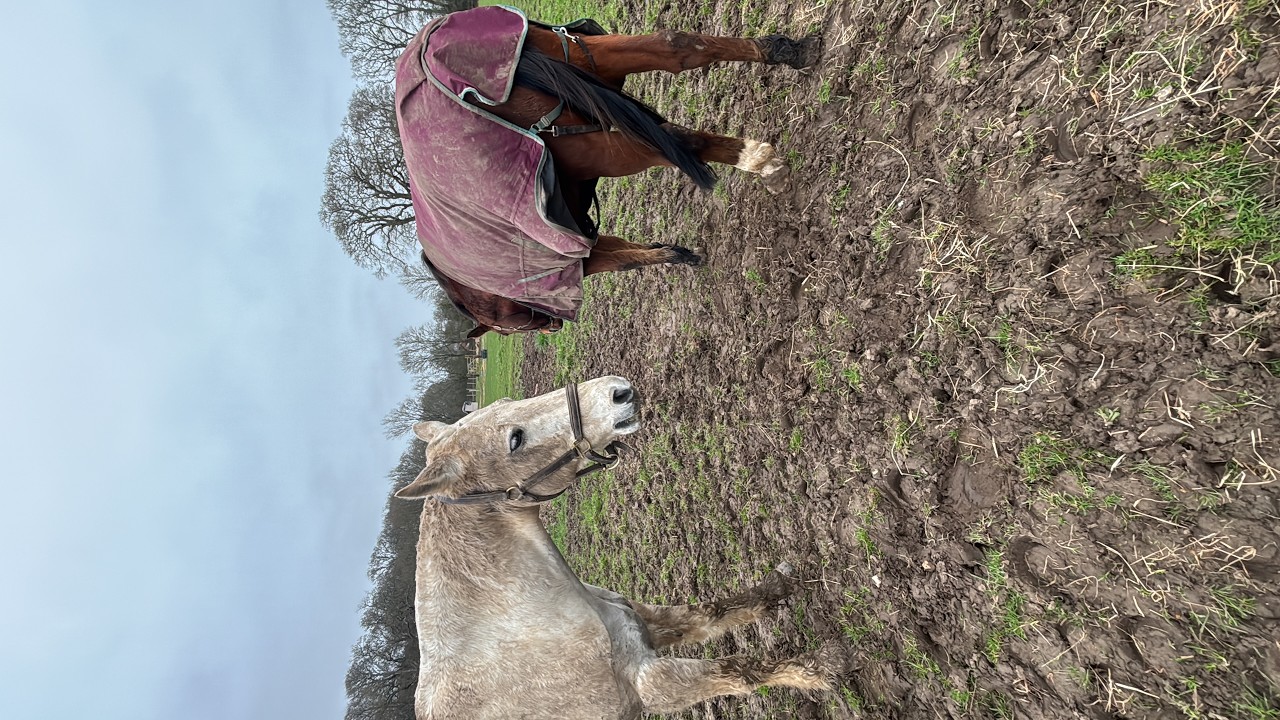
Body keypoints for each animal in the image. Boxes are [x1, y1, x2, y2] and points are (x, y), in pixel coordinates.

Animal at [395, 376, 842, 719]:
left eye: (505, 404)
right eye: (515, 440)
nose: (619, 391)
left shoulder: (643, 623)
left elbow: (710, 613)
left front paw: (779, 588)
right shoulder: (653, 683)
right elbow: (737, 671)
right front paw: (825, 667)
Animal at [396, 6, 820, 336]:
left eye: (512, 326)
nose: (551, 327)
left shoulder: (577, 260)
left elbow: (622, 259)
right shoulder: (584, 244)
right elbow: (626, 250)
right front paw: (677, 253)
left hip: (589, 145)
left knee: (672, 138)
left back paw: (760, 160)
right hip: (583, 58)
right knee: (675, 47)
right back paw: (789, 53)